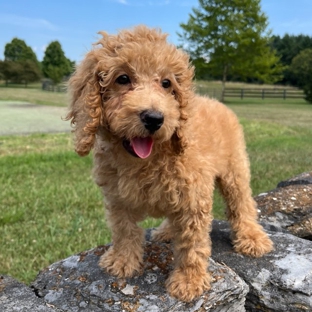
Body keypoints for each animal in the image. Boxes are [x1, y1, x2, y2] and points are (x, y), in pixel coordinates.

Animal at [66, 25, 272, 302]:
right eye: (122, 78)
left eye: (166, 83)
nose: (154, 118)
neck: (147, 159)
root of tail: (218, 102)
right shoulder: (117, 196)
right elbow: (123, 229)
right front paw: (122, 261)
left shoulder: (194, 198)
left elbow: (192, 244)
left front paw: (188, 281)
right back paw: (166, 231)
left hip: (235, 168)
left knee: (242, 203)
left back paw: (252, 237)